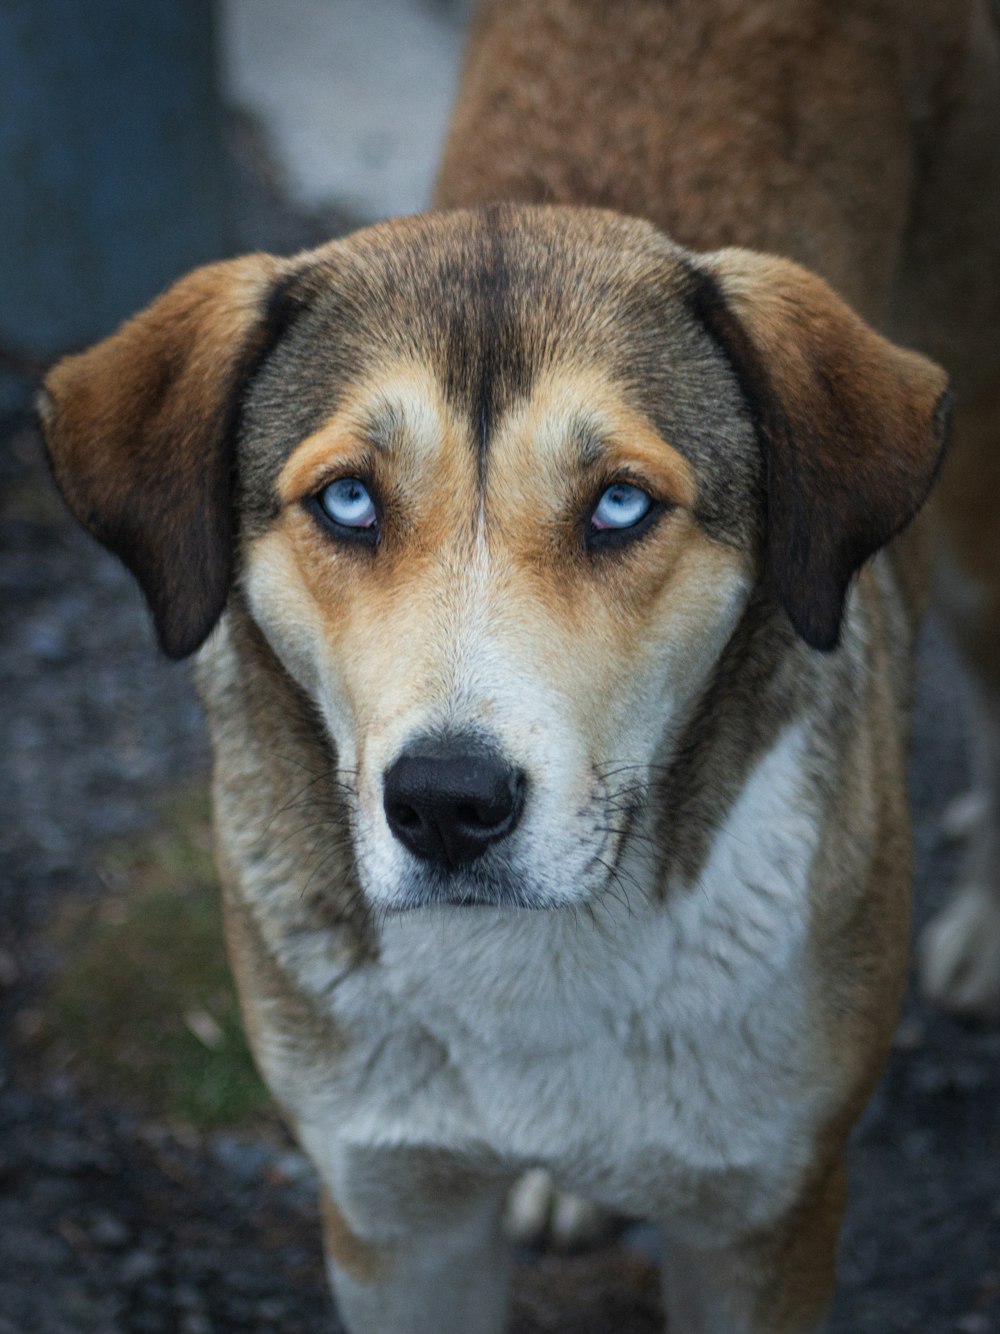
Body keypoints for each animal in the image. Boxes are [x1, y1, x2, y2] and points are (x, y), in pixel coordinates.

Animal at [37, 2, 1000, 1334]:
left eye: (619, 504)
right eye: (347, 498)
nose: (448, 802)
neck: (530, 966)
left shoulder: (766, 1212)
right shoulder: (392, 1212)